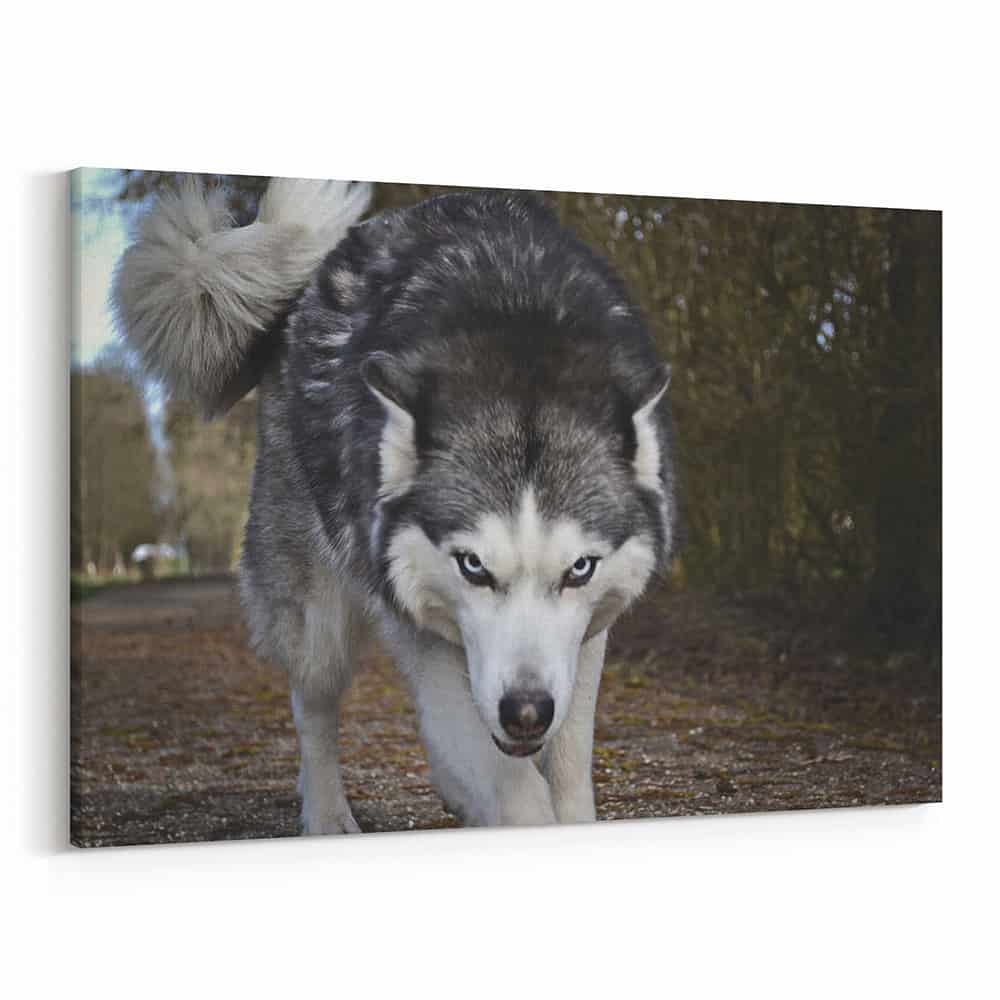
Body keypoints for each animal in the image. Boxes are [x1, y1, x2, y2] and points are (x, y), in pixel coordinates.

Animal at [113, 176, 676, 833]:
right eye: (473, 566)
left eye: (579, 569)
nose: (526, 711)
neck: (519, 338)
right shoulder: (419, 627)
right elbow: (514, 791)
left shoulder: (582, 643)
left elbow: (564, 767)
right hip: (317, 619)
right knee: (314, 707)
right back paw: (328, 816)